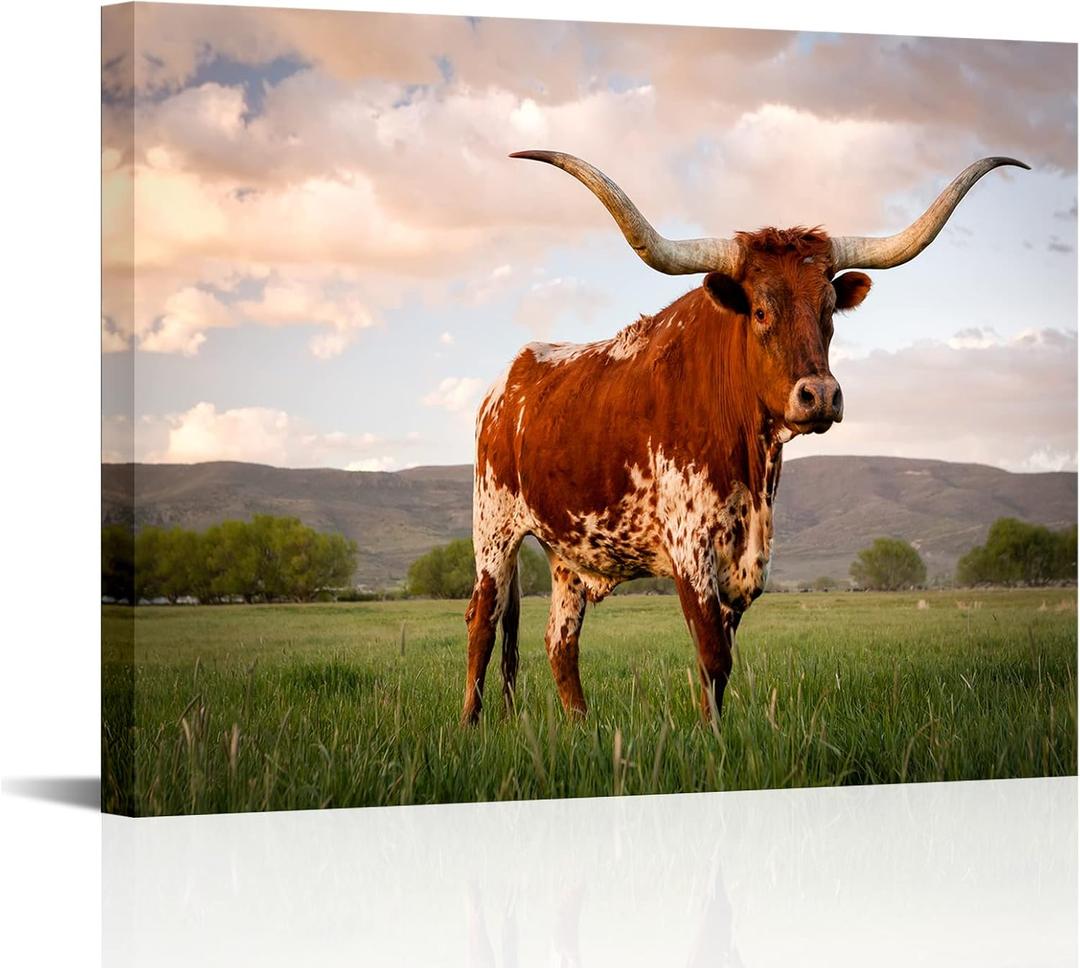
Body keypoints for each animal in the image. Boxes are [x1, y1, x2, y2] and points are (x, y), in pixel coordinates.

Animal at [462, 150, 1027, 726]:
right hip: (494, 529)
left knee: (561, 640)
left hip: (568, 554)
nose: (820, 395)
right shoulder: (689, 545)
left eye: (828, 310)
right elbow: (712, 653)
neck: (751, 461)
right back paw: (470, 727)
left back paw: (581, 726)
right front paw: (712, 737)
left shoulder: (747, 558)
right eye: (759, 310)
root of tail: (507, 380)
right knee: (482, 623)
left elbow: (721, 661)